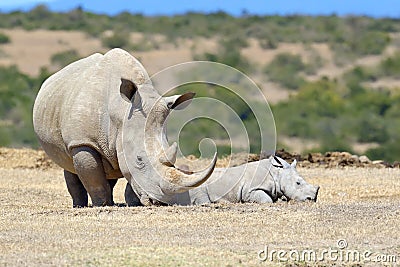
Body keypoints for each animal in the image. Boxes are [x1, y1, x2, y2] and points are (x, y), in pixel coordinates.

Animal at [33, 48, 217, 207]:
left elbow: (129, 178)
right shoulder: (82, 142)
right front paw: (102, 205)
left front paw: (134, 203)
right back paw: (80, 206)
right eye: (139, 159)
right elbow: (94, 179)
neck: (120, 113)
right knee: (69, 164)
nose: (160, 202)